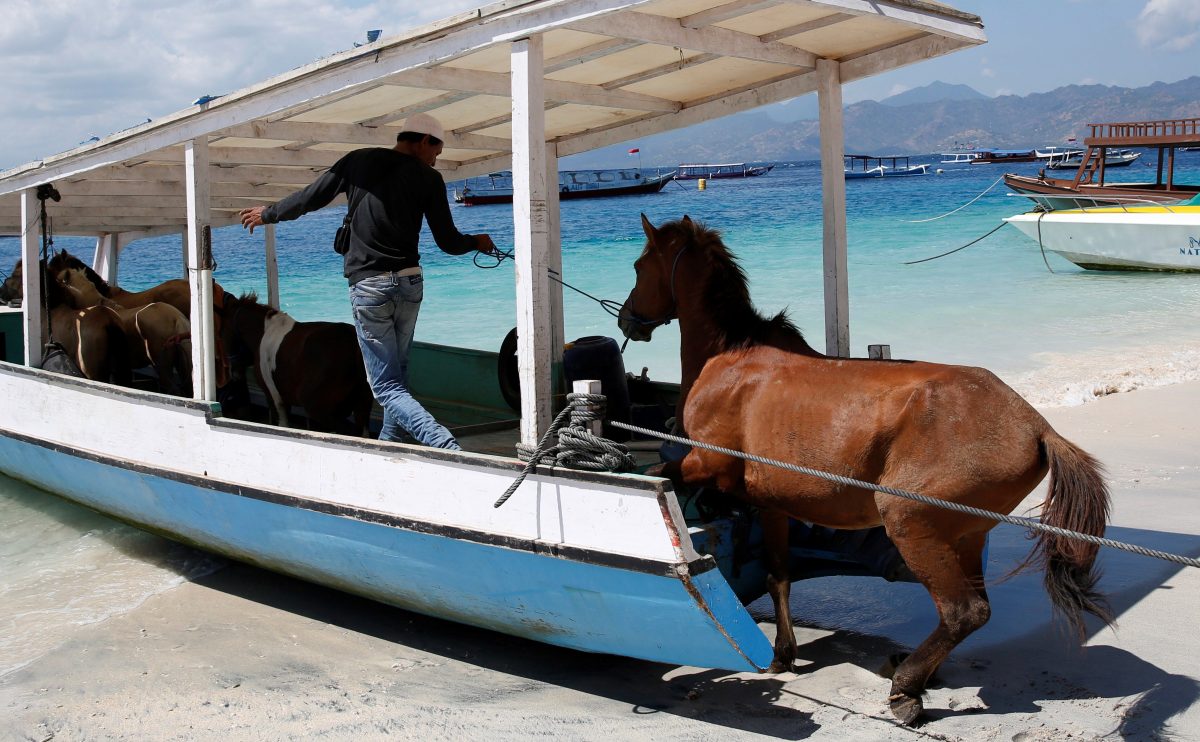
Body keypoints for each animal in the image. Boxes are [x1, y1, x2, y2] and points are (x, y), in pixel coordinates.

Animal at [217, 292, 373, 436]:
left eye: (222, 332)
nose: (234, 373)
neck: (263, 332)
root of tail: (353, 343)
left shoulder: (275, 398)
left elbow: (283, 425)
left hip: (319, 409)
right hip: (362, 404)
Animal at [617, 215, 1112, 725]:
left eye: (639, 265)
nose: (627, 318)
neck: (732, 357)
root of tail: (1036, 426)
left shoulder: (703, 463)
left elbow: (667, 470)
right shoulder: (772, 505)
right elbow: (778, 576)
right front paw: (783, 653)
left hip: (911, 522)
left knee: (963, 612)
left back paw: (906, 688)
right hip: (965, 536)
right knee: (971, 611)